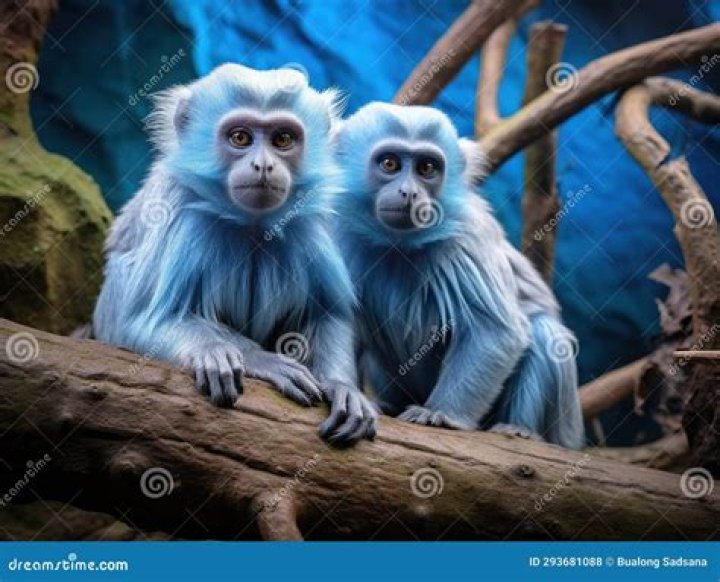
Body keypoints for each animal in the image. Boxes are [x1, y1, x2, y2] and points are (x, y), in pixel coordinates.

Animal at [93, 64, 376, 444]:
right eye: (240, 138)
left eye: (283, 140)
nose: (263, 166)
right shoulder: (175, 207)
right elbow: (139, 321)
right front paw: (248, 357)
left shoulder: (316, 219)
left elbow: (328, 312)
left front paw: (341, 385)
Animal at [332, 102, 584, 449]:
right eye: (390, 163)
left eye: (426, 168)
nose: (409, 193)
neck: (397, 245)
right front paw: (348, 394)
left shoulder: (467, 237)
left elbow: (497, 331)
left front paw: (441, 414)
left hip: (562, 427)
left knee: (547, 332)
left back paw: (520, 429)